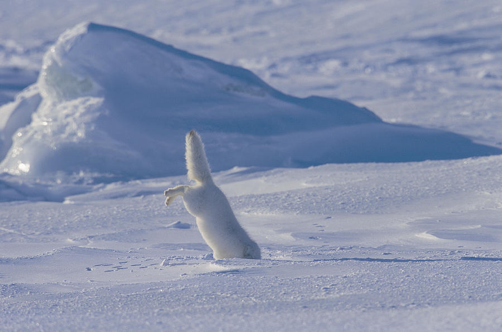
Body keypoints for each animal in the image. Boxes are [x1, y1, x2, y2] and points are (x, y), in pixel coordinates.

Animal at [164, 130, 260, 260]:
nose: (259, 260)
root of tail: (209, 183)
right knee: (184, 188)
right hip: (192, 203)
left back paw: (168, 199)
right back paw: (168, 193)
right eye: (253, 256)